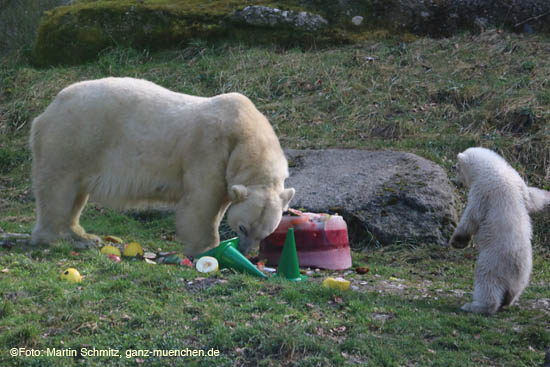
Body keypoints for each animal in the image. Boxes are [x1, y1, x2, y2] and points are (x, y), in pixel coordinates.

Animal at [29, 76, 298, 258]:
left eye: (265, 233)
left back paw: (81, 233)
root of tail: (48, 110)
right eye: (242, 227)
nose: (246, 251)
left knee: (75, 192)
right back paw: (63, 237)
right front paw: (208, 249)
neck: (245, 134)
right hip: (74, 137)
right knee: (59, 188)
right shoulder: (209, 150)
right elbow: (202, 203)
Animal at [452, 148, 550, 314]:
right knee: (514, 290)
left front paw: (457, 240)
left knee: (486, 280)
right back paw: (507, 301)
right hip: (525, 274)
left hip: (494, 261)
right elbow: (532, 198)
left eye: (457, 167)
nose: (454, 181)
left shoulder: (482, 190)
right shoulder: (519, 182)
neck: (492, 168)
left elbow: (472, 216)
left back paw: (476, 306)